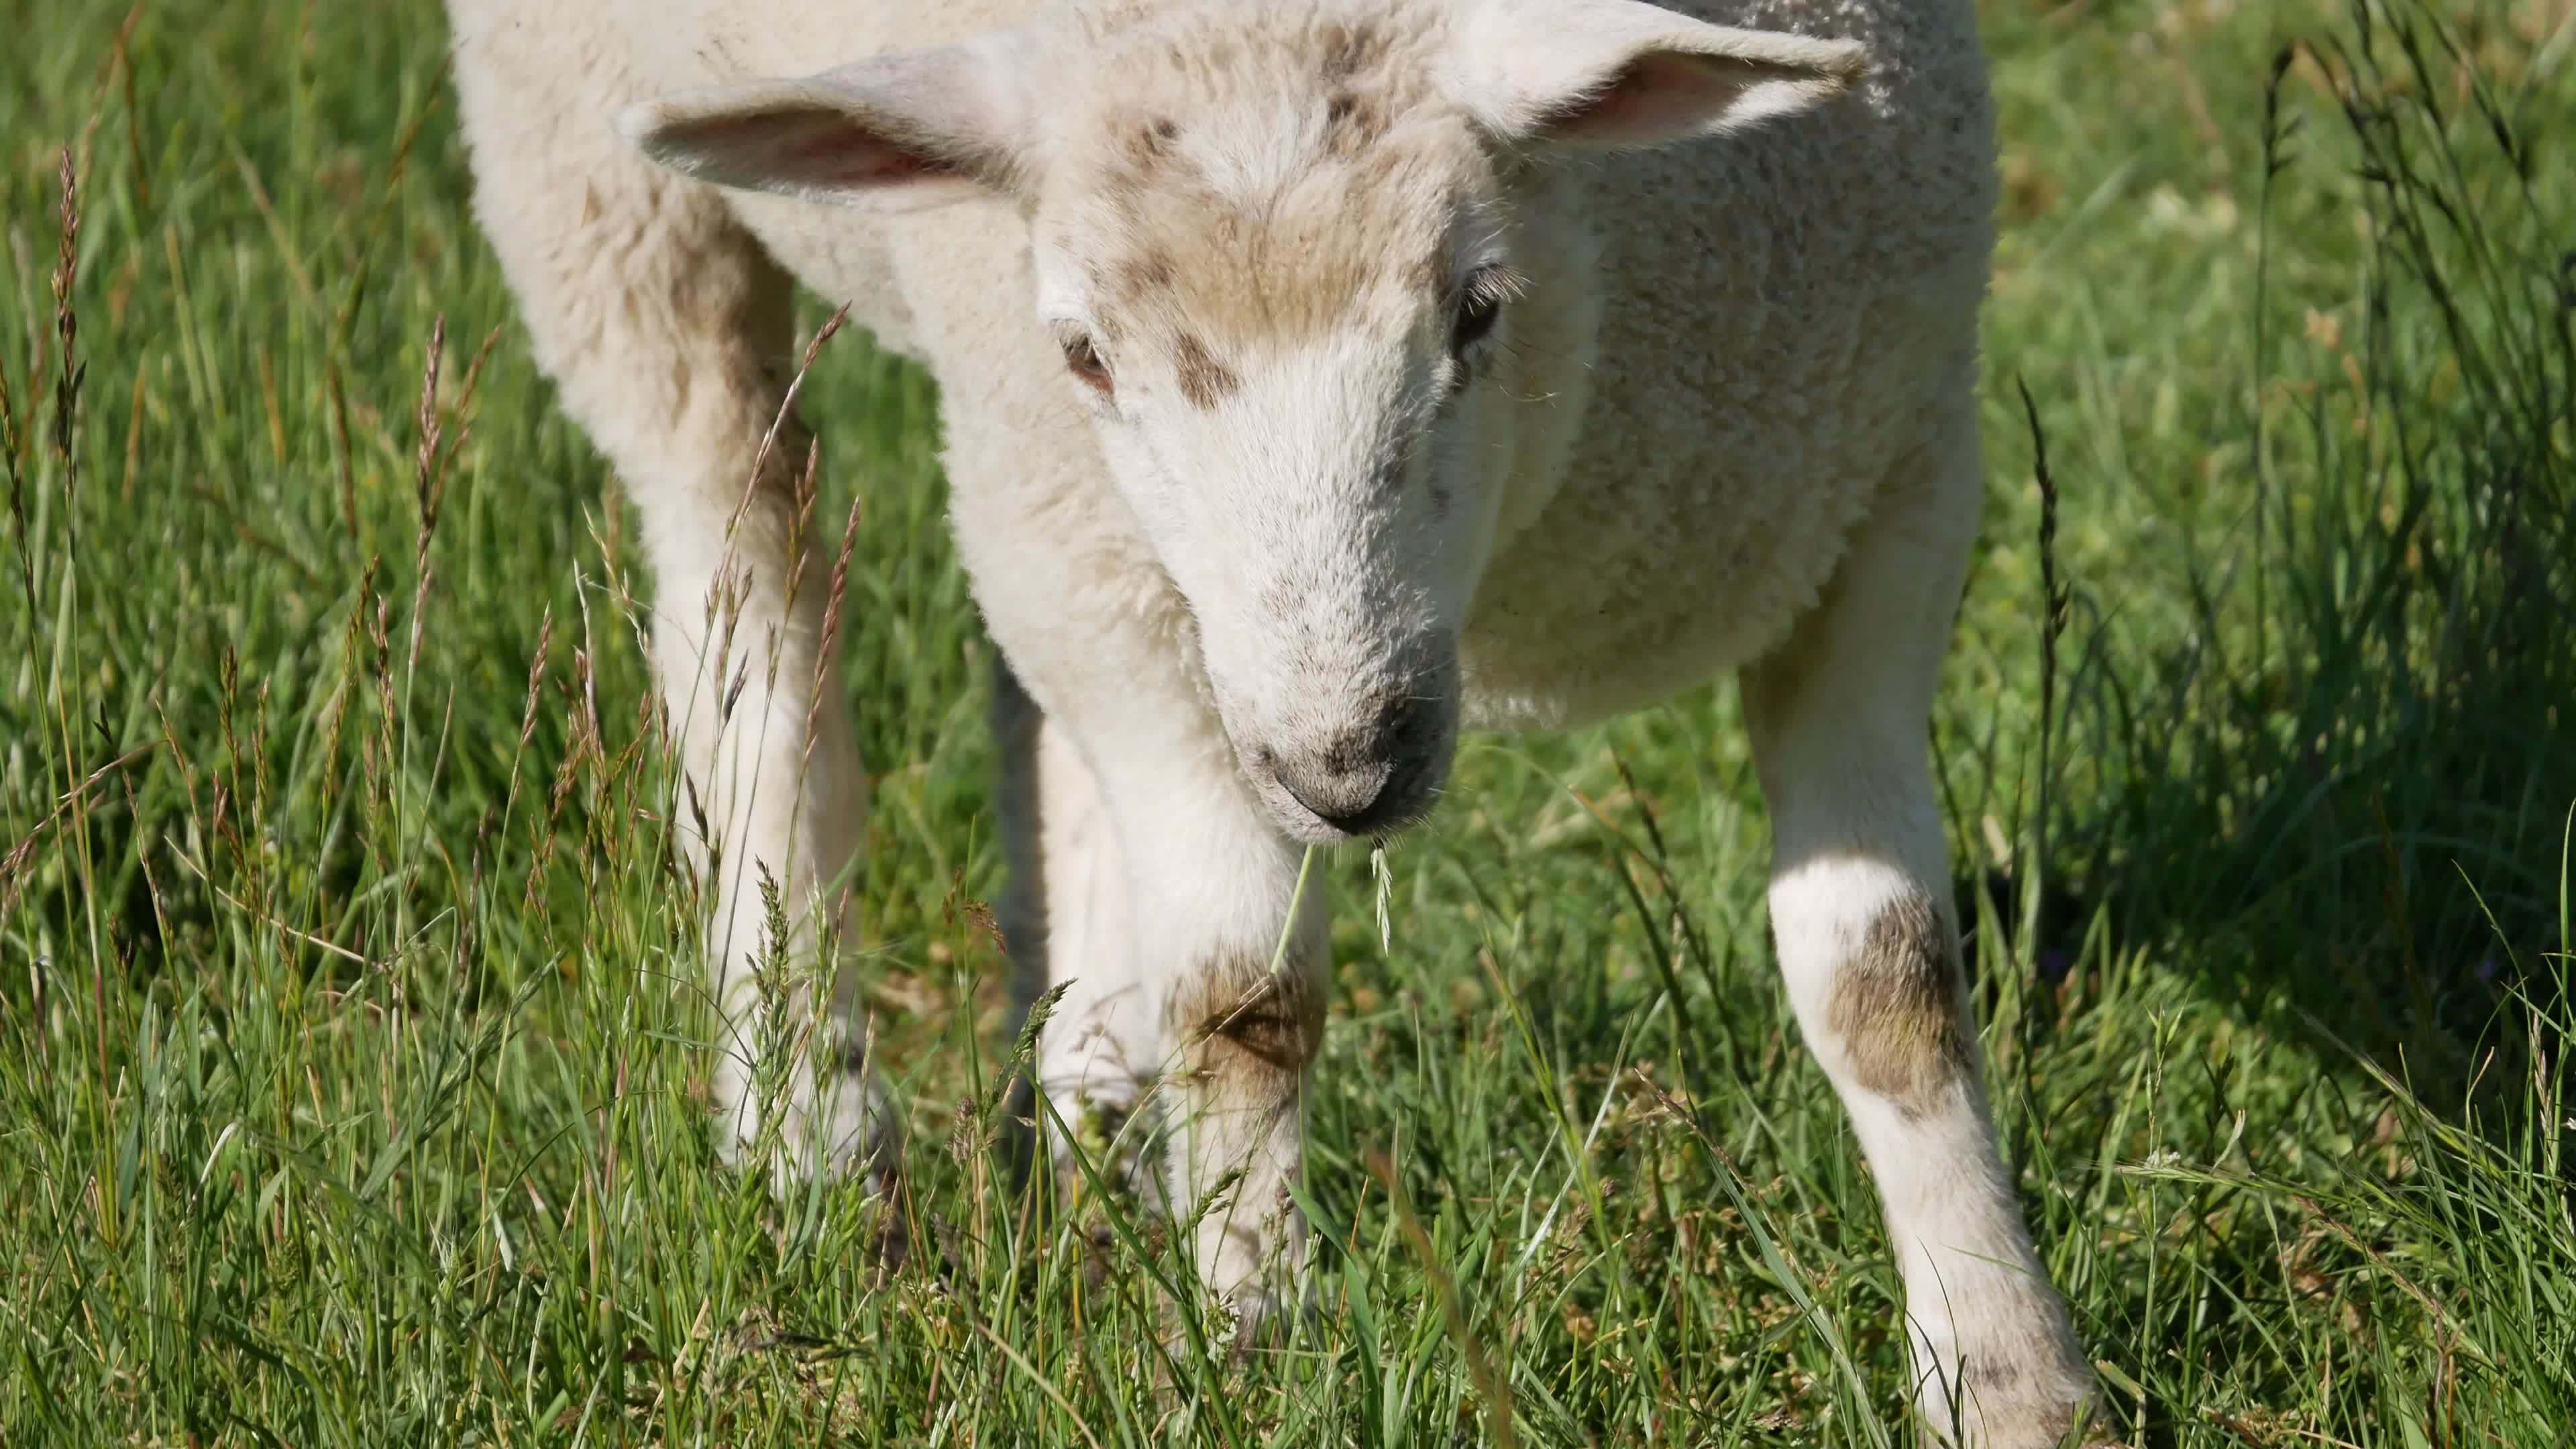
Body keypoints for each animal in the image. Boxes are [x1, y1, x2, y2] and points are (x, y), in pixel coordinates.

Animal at [443, 0, 2095, 1439]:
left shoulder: (1891, 486)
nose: (1345, 770)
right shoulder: (1109, 577)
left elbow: (1887, 981)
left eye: (1477, 309)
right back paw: (815, 1145)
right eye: (1086, 351)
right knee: (743, 595)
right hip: (602, 185)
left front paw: (2009, 1374)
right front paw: (1249, 1341)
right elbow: (1245, 1002)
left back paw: (1088, 1105)